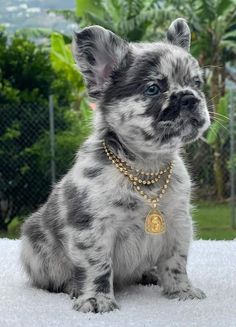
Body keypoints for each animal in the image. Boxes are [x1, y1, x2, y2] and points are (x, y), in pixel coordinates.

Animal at [21, 18, 210, 316]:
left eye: (197, 83)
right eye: (153, 89)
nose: (190, 98)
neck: (144, 168)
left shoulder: (178, 223)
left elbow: (176, 262)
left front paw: (181, 291)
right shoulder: (92, 228)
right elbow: (97, 265)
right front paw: (97, 299)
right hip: (37, 253)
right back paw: (72, 287)